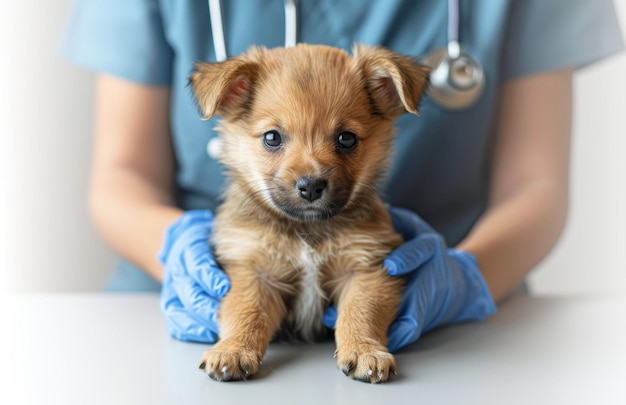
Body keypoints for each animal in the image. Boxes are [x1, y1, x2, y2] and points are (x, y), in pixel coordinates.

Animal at [188, 43, 426, 382]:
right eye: (272, 137)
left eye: (346, 138)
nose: (311, 186)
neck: (307, 230)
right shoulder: (253, 270)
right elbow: (245, 312)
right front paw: (233, 350)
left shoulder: (365, 268)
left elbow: (361, 312)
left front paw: (364, 351)